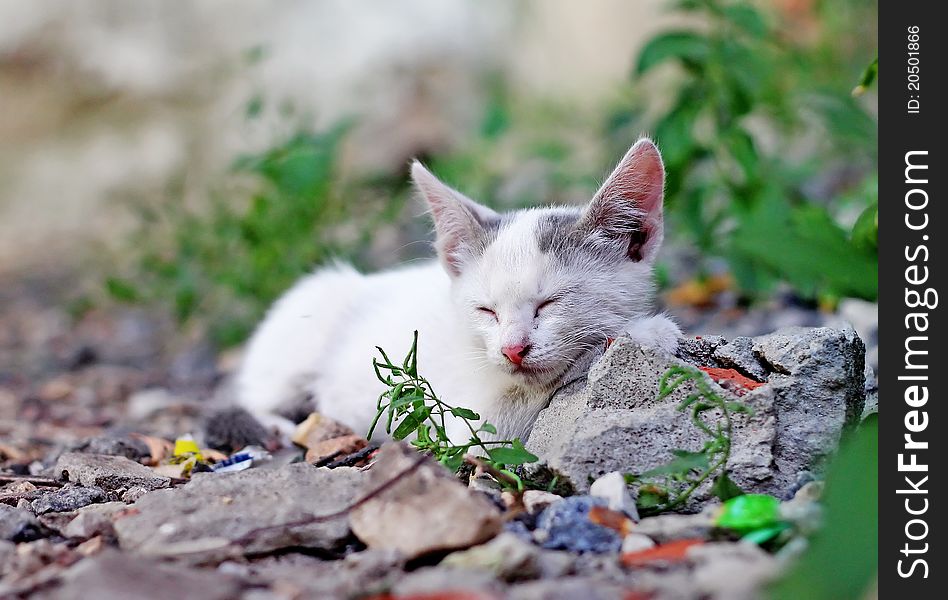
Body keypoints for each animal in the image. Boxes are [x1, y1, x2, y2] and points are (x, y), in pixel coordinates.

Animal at [237, 138, 680, 442]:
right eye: (486, 311)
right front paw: (645, 332)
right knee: (253, 396)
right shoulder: (469, 421)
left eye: (549, 303)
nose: (512, 349)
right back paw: (280, 425)